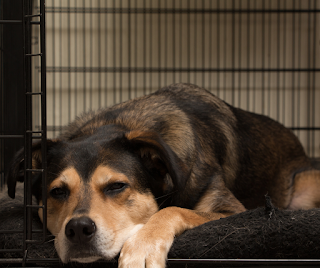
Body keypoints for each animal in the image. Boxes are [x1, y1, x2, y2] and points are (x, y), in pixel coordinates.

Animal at [6, 83, 320, 266]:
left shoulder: (232, 211)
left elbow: (173, 210)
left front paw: (141, 247)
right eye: (57, 192)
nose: (79, 229)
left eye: (117, 186)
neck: (120, 123)